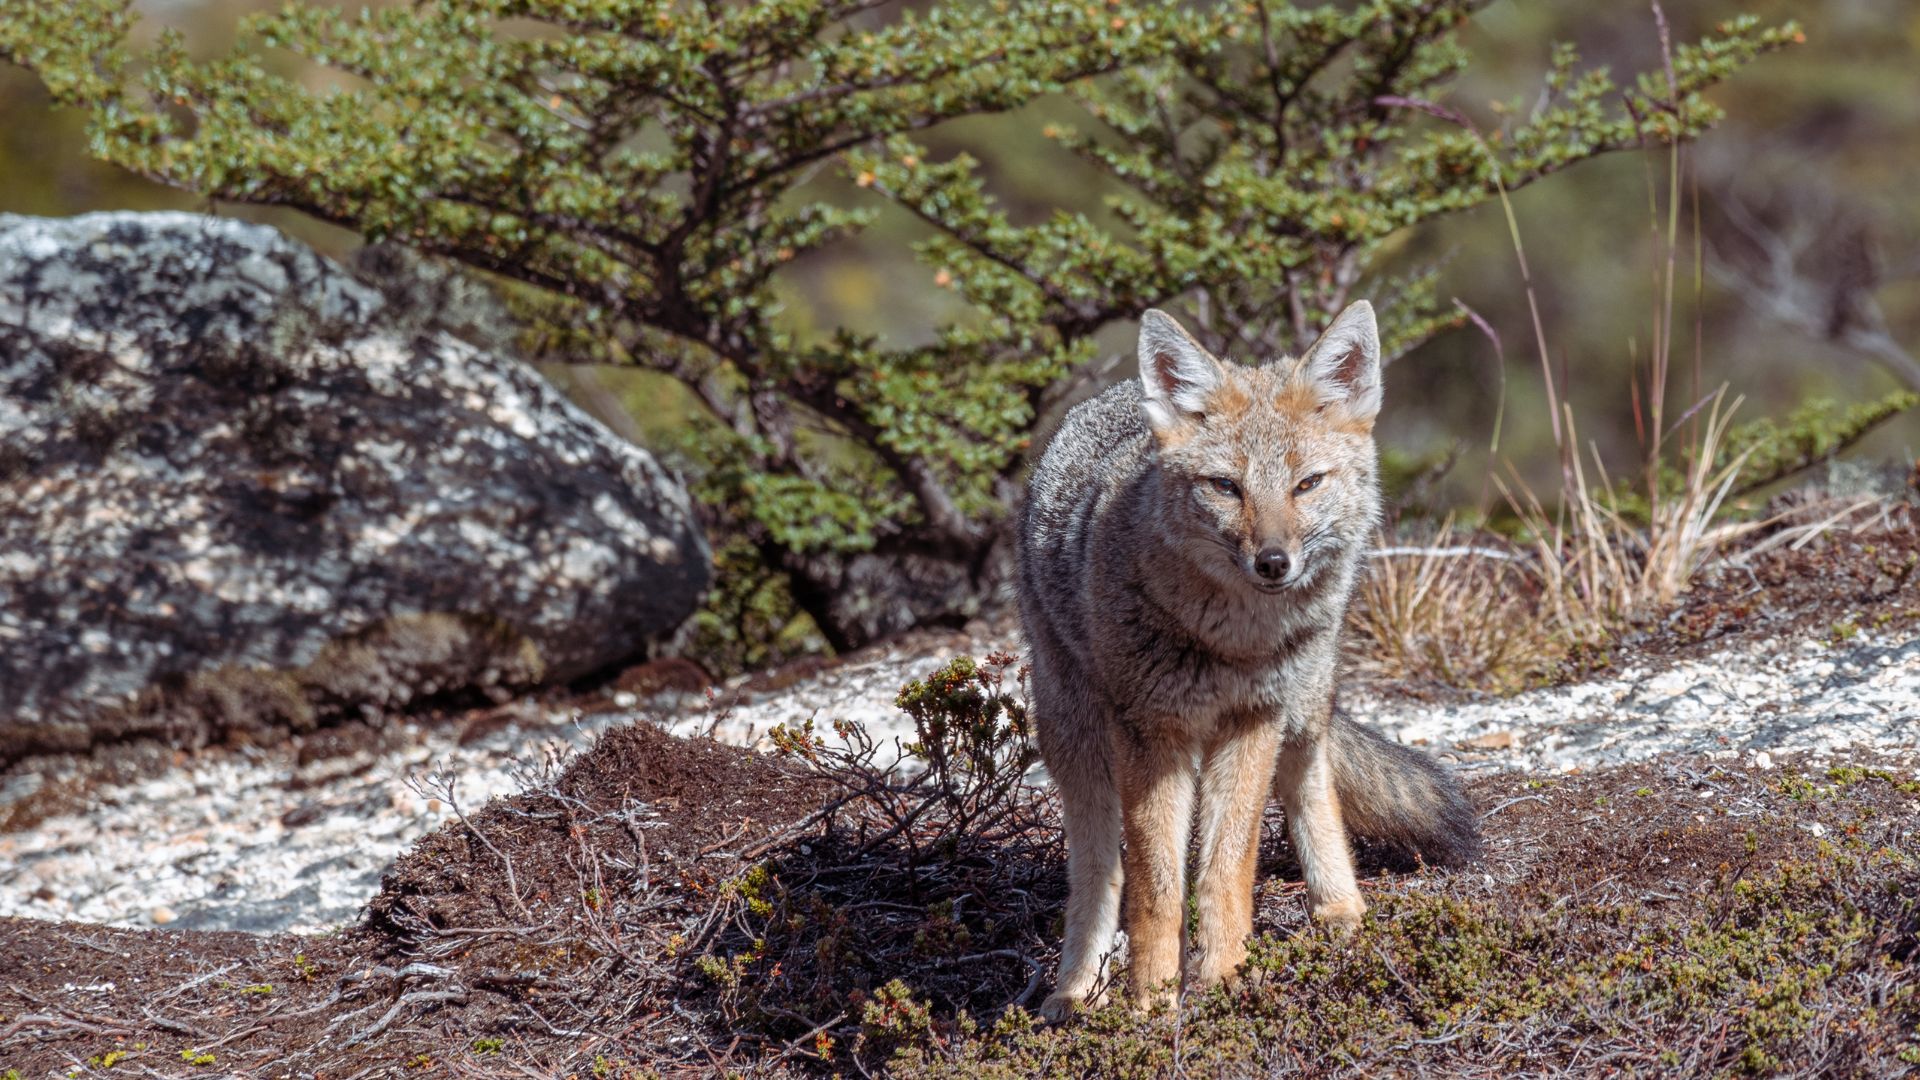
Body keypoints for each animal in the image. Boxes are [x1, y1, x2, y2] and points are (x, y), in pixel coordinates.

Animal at [1021, 295, 1482, 1014]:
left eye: (1307, 484)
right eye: (1226, 487)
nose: (1272, 561)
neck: (1231, 642)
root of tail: (1109, 397)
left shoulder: (1254, 719)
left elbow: (1226, 866)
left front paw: (1223, 980)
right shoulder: (1151, 732)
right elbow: (1155, 883)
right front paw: (1152, 1003)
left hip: (1304, 705)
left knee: (1311, 781)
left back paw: (1341, 911)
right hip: (1076, 737)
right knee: (1098, 868)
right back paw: (1076, 990)